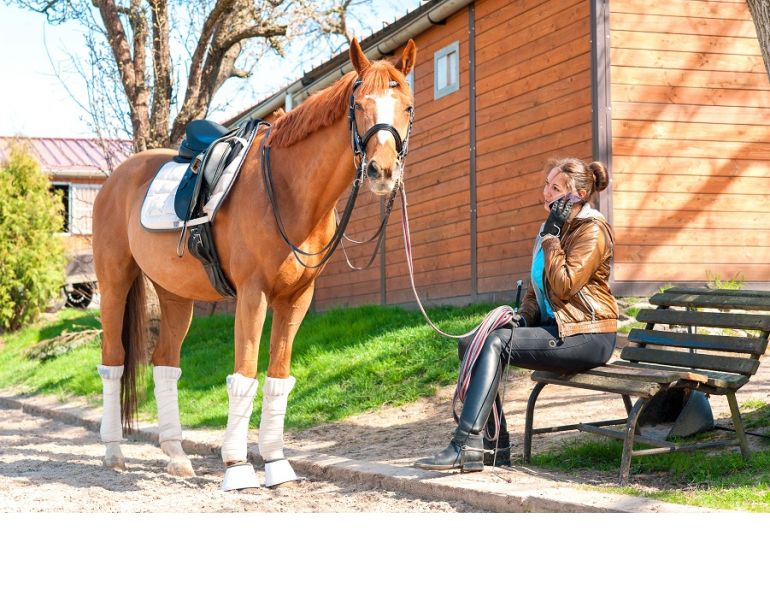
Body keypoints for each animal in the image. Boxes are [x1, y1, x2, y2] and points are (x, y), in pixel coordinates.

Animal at [92, 38, 417, 490]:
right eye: (359, 104)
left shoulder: (296, 299)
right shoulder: (253, 294)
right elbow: (244, 375)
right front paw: (237, 468)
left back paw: (176, 456)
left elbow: (279, 378)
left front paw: (277, 463)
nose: (382, 171)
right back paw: (113, 452)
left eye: (407, 106)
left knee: (165, 364)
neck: (288, 189)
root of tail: (116, 178)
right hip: (114, 282)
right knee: (113, 361)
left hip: (175, 295)